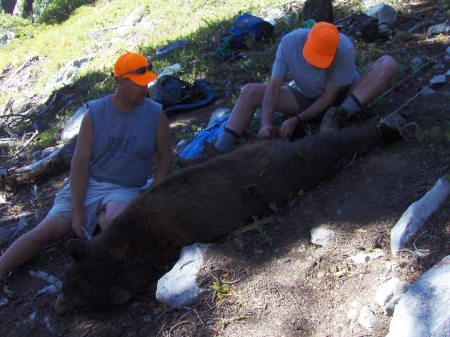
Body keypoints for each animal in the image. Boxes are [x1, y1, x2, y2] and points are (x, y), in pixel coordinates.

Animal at [54, 119, 402, 312]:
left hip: (285, 173)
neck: (124, 242)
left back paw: (384, 131)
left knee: (326, 150)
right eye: (65, 285)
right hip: (266, 150)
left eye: (74, 296)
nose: (59, 307)